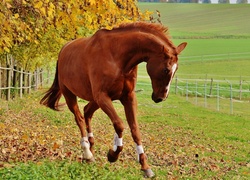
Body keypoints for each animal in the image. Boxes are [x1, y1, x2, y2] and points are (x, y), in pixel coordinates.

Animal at [40, 21, 187, 177]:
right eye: (166, 69)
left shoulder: (128, 97)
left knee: (87, 112)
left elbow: (135, 130)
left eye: (176, 70)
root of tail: (64, 49)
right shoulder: (102, 96)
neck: (117, 57)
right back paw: (87, 153)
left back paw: (91, 149)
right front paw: (113, 154)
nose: (161, 97)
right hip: (70, 95)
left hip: (94, 100)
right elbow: (119, 124)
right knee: (79, 118)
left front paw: (145, 166)